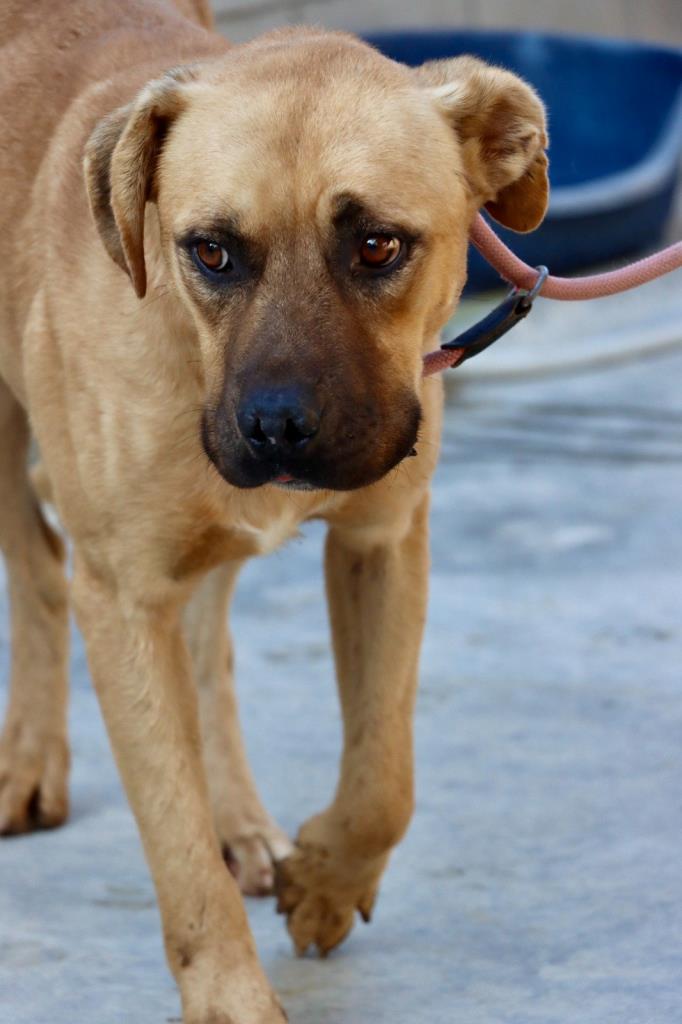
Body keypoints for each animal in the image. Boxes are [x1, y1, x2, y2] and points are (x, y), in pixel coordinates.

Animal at [0, 4, 544, 1019]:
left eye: (378, 245)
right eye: (210, 250)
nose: (279, 428)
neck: (188, 345)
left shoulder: (383, 539)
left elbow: (384, 777)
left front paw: (326, 879)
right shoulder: (122, 596)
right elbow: (178, 856)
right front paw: (231, 998)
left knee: (207, 642)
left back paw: (238, 818)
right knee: (39, 572)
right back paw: (32, 757)